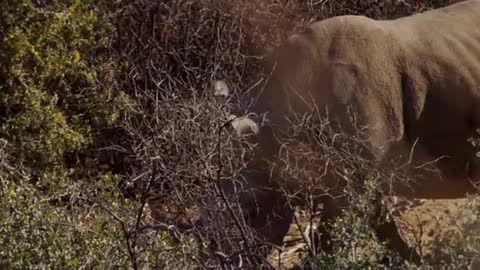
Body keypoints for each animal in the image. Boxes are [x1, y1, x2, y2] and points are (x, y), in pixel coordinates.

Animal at [226, 0, 480, 262]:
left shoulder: (356, 175)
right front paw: (414, 261)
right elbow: (381, 225)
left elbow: (329, 236)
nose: (238, 259)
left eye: (251, 211)